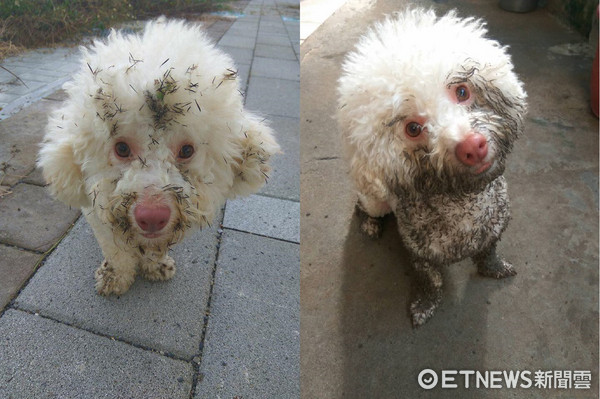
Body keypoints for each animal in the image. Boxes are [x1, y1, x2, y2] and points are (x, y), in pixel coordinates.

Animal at [39, 18, 278, 296]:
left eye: (187, 151)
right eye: (122, 148)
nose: (152, 218)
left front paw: (155, 266)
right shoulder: (100, 216)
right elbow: (116, 251)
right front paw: (115, 277)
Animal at [340, 9, 528, 328]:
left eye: (462, 91)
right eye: (413, 128)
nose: (473, 146)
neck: (463, 203)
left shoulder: (495, 229)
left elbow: (489, 253)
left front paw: (494, 268)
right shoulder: (419, 254)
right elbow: (432, 282)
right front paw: (424, 306)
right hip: (375, 198)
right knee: (362, 205)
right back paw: (370, 224)